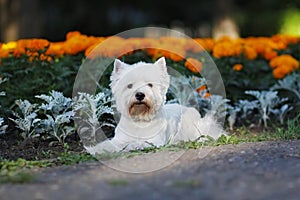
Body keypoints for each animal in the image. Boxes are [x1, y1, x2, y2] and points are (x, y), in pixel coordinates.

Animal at [84, 56, 225, 155]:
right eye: (130, 85)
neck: (140, 119)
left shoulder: (155, 141)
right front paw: (94, 149)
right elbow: (109, 144)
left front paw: (131, 146)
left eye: (150, 84)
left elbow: (138, 143)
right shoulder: (119, 139)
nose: (140, 95)